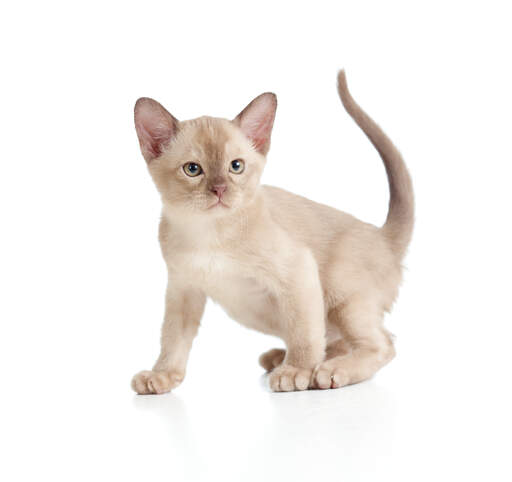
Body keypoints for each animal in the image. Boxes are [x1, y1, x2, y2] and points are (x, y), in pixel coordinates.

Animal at [131, 72, 412, 396]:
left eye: (236, 166)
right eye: (193, 169)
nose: (219, 189)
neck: (209, 232)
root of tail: (383, 236)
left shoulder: (299, 270)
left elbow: (303, 331)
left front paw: (297, 371)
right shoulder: (183, 288)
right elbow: (172, 338)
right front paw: (162, 375)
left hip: (342, 295)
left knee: (384, 344)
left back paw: (328, 370)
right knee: (347, 339)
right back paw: (285, 358)